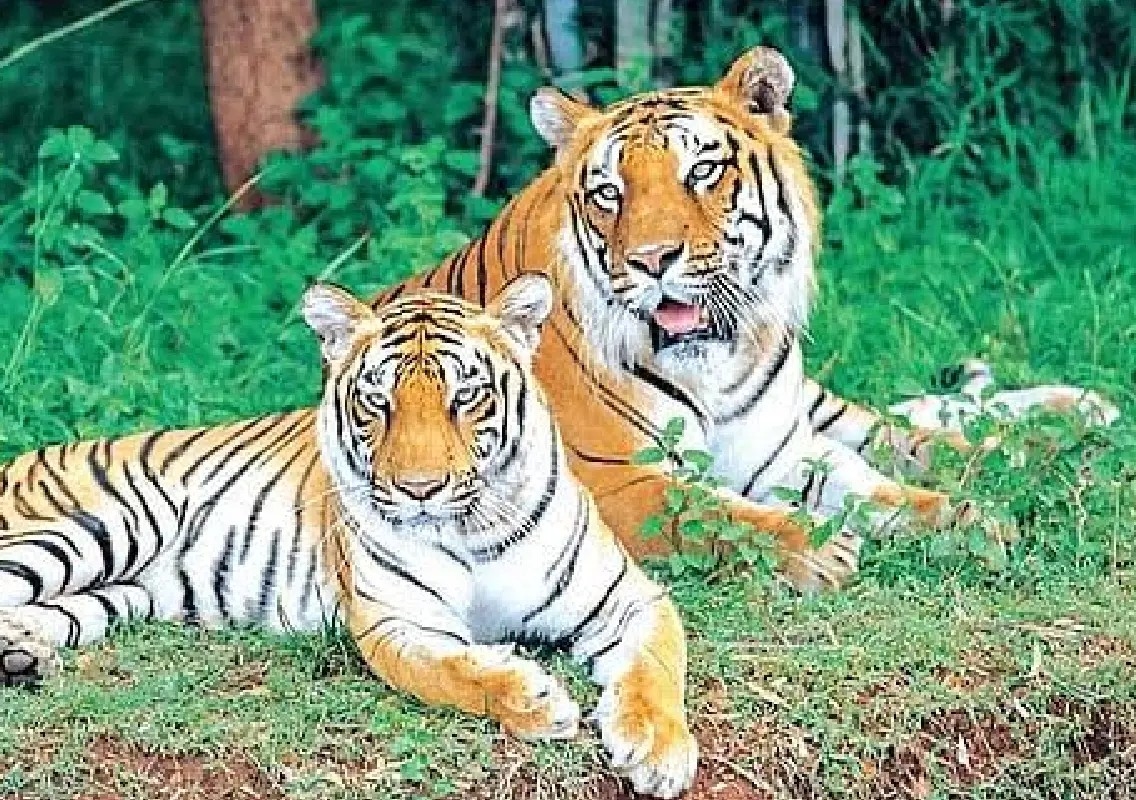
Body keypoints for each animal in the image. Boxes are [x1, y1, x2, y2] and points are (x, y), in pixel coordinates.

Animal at [0, 276, 698, 799]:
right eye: (377, 401)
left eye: (465, 397)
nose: (420, 489)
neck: (472, 530)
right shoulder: (396, 622)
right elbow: (453, 672)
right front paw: (533, 698)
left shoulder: (629, 597)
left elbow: (656, 666)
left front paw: (658, 750)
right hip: (103, 524)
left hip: (120, 594)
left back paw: (23, 654)